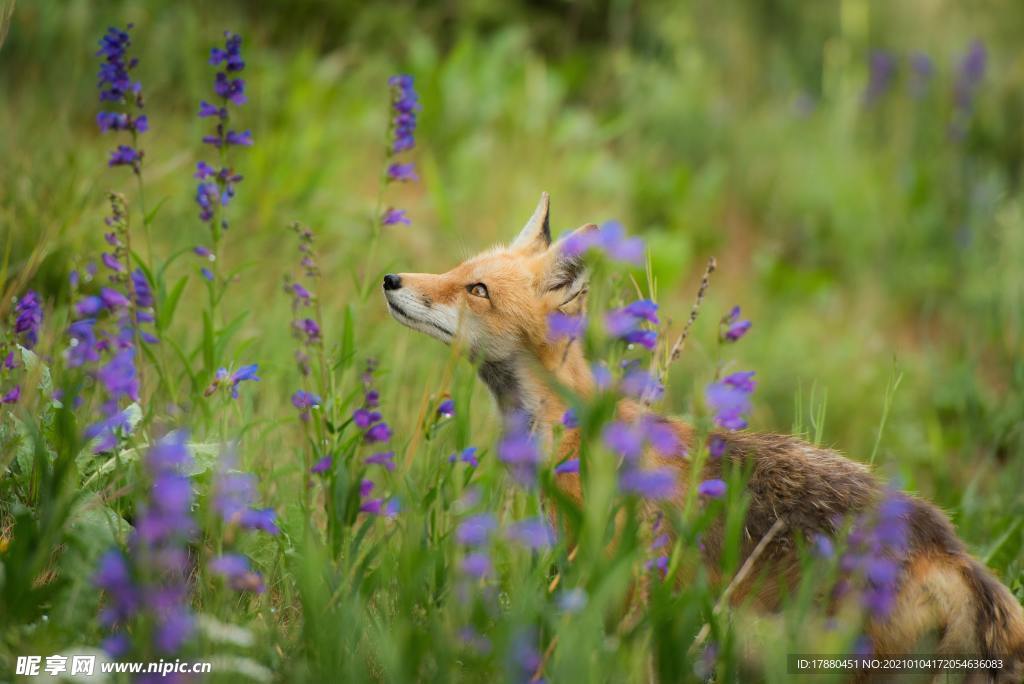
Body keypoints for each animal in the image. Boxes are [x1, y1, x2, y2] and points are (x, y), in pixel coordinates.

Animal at [382, 191, 1024, 679]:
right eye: (457, 273)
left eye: (477, 291)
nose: (390, 277)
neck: (573, 431)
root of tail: (953, 549)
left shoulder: (609, 577)